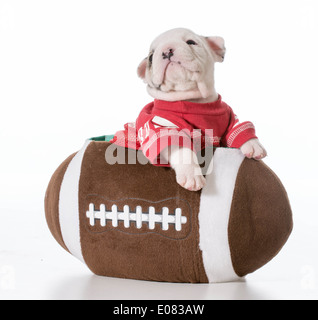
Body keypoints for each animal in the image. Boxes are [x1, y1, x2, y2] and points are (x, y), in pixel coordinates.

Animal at [138, 28, 268, 190]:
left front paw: (253, 144)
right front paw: (191, 174)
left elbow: (236, 126)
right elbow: (181, 147)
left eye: (191, 42)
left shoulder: (228, 114)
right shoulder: (163, 124)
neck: (194, 100)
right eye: (150, 57)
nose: (167, 50)